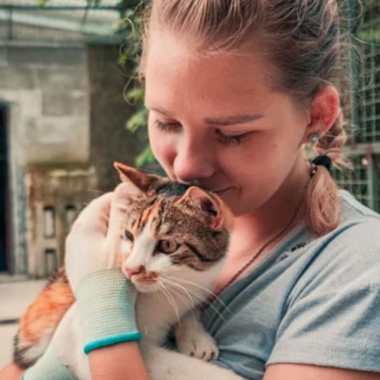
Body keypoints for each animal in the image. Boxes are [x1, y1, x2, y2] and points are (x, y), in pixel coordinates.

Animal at [14, 163, 242, 380]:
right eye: (128, 235)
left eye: (168, 245)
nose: (131, 268)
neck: (171, 289)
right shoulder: (79, 342)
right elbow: (178, 366)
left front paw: (196, 336)